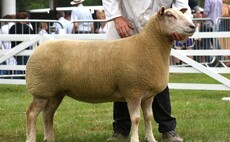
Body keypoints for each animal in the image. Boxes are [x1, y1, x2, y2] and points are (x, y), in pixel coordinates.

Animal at [24, 6, 194, 142]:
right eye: (170, 15)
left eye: (181, 13)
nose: (192, 26)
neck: (148, 45)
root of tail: (37, 49)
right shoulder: (133, 91)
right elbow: (136, 119)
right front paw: (135, 139)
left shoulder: (147, 95)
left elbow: (148, 117)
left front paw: (151, 139)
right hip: (41, 89)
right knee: (31, 113)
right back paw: (31, 138)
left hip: (55, 92)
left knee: (48, 114)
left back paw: (50, 138)